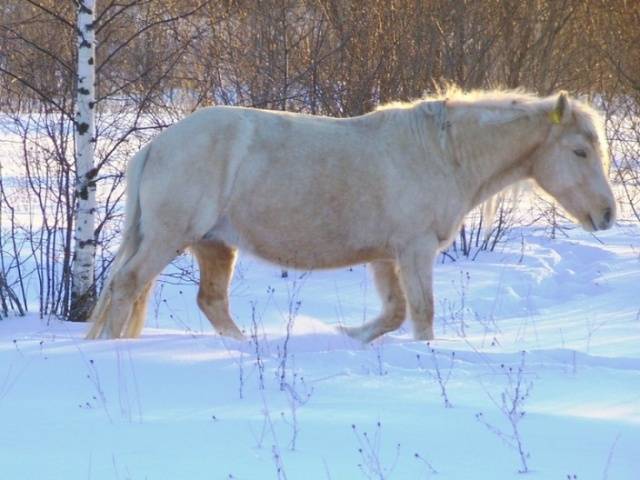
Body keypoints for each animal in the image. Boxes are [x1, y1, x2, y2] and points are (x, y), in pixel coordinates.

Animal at [85, 89, 616, 342]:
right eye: (580, 151)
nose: (607, 214)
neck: (441, 153)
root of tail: (157, 145)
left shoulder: (386, 256)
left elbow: (394, 313)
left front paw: (348, 336)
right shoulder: (415, 250)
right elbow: (422, 313)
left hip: (214, 244)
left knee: (211, 302)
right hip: (169, 237)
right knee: (126, 286)